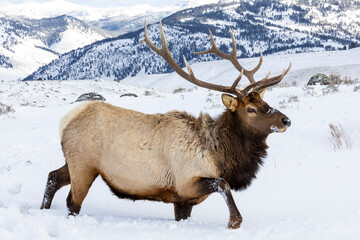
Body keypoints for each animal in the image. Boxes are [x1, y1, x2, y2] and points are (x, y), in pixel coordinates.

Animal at [40, 21, 292, 229]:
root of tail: (66, 120)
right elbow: (223, 184)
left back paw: (42, 209)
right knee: (72, 202)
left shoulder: (183, 201)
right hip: (84, 164)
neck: (219, 157)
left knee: (53, 176)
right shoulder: (186, 183)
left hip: (75, 162)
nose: (285, 120)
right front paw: (234, 221)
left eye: (265, 102)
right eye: (250, 109)